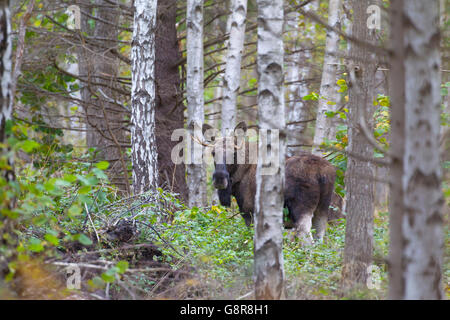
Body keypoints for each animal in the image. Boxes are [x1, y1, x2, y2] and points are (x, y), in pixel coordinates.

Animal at [200, 122, 342, 242]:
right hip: (322, 210)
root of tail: (322, 173)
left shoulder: (250, 213)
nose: (219, 178)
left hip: (302, 210)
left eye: (234, 153)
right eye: (213, 152)